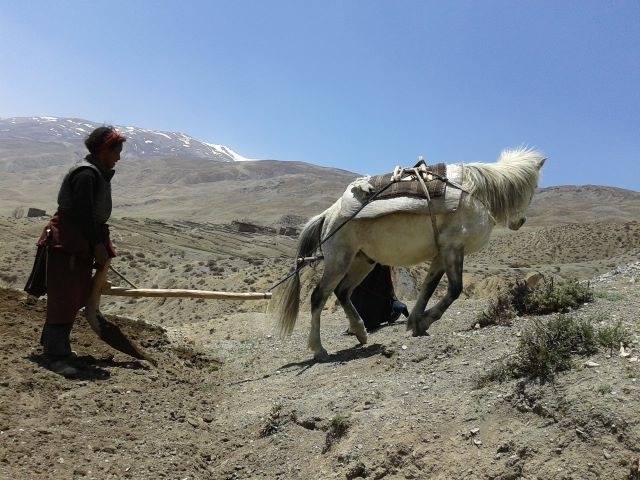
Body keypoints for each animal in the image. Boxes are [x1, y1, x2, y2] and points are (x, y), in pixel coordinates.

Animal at [272, 148, 548, 358]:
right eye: (534, 188)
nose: (521, 221)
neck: (474, 192)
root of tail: (328, 214)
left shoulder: (441, 254)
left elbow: (428, 288)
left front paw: (416, 322)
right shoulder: (453, 249)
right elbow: (454, 290)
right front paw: (425, 321)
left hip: (363, 261)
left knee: (342, 292)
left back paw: (360, 332)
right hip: (339, 261)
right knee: (319, 297)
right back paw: (319, 349)